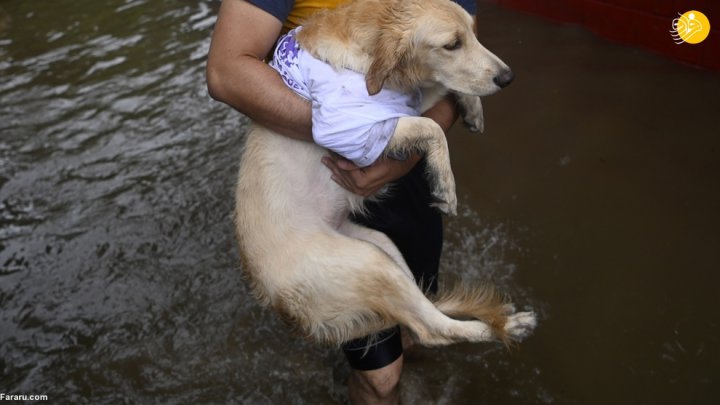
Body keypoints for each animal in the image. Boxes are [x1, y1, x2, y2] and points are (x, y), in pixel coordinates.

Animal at [236, 0, 536, 348]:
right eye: (452, 44)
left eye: (473, 34)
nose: (508, 77)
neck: (366, 55)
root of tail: (285, 310)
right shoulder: (355, 130)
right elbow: (431, 126)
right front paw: (445, 185)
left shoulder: (405, 99)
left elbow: (441, 88)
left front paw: (472, 108)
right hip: (370, 264)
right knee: (433, 330)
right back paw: (507, 327)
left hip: (382, 247)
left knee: (424, 313)